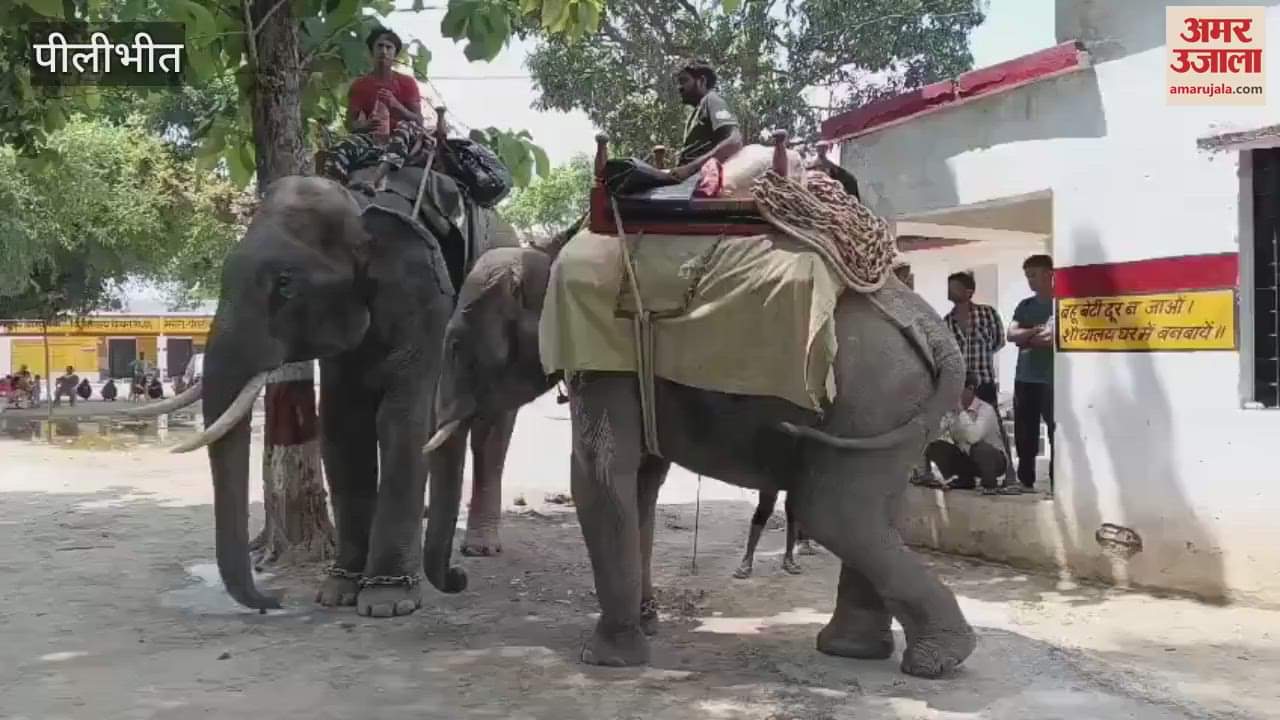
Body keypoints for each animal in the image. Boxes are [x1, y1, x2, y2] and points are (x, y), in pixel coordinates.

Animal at [130, 170, 515, 617]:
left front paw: (386, 603)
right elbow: (341, 426)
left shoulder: (426, 304)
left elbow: (403, 421)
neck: (360, 206)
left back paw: (480, 548)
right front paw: (337, 593)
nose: (273, 600)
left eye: (285, 284)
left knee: (490, 435)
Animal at [420, 226, 978, 678]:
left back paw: (935, 660)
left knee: (832, 512)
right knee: (875, 511)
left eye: (455, 346)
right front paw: (648, 624)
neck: (547, 254)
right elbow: (641, 483)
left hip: (871, 397)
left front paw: (606, 660)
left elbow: (600, 473)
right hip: (895, 411)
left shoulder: (605, 357)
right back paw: (857, 651)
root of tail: (937, 333)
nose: (461, 576)